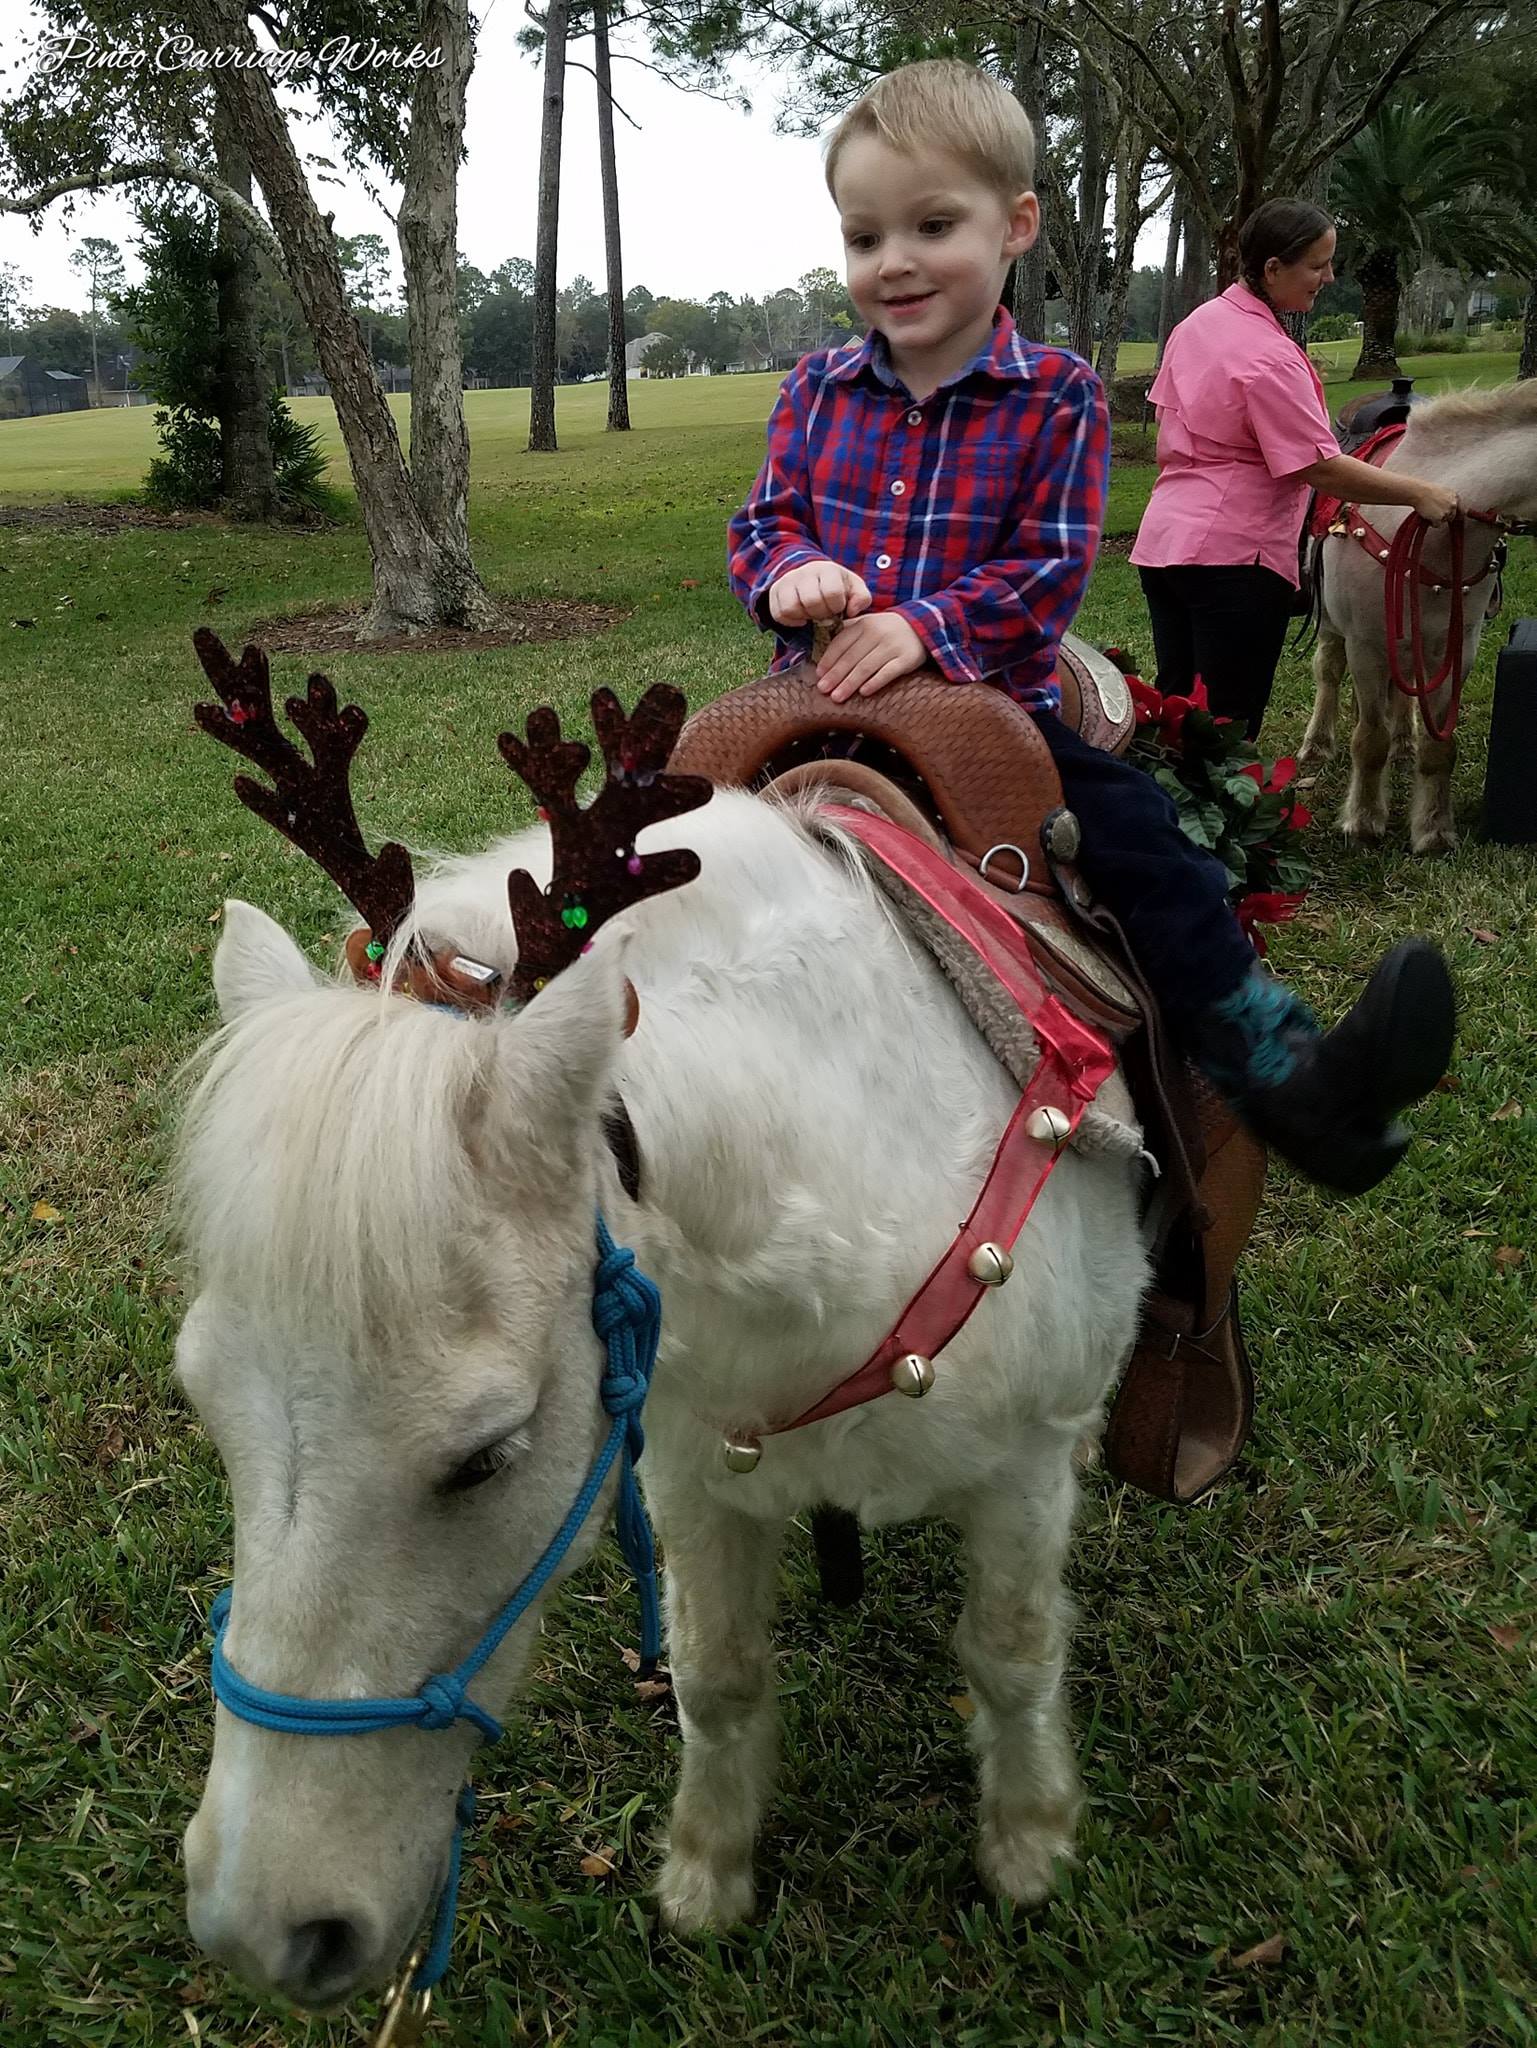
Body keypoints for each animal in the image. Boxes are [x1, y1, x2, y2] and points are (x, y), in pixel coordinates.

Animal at [174, 790, 1147, 2007]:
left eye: (486, 1455)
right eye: (206, 1406)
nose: (257, 1929)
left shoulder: (1021, 1470)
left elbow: (1010, 1653)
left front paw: (1029, 1845)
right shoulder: (691, 1472)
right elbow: (716, 1675)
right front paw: (707, 1873)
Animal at [1303, 380, 1537, 851]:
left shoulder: (1458, 647)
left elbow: (1438, 747)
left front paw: (1433, 830)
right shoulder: (1366, 647)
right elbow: (1369, 740)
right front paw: (1364, 822)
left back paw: (1404, 743)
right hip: (1336, 630)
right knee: (1329, 673)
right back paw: (1317, 744)